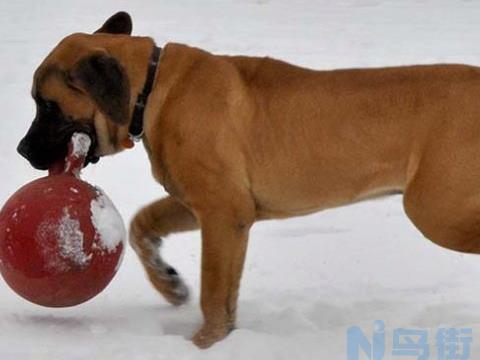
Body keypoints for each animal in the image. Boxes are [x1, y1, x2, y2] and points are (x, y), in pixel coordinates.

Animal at [17, 11, 480, 348]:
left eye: (47, 105)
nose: (21, 150)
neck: (151, 88)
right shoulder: (209, 207)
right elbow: (144, 226)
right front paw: (171, 286)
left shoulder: (221, 210)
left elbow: (213, 290)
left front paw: (203, 343)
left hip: (433, 209)